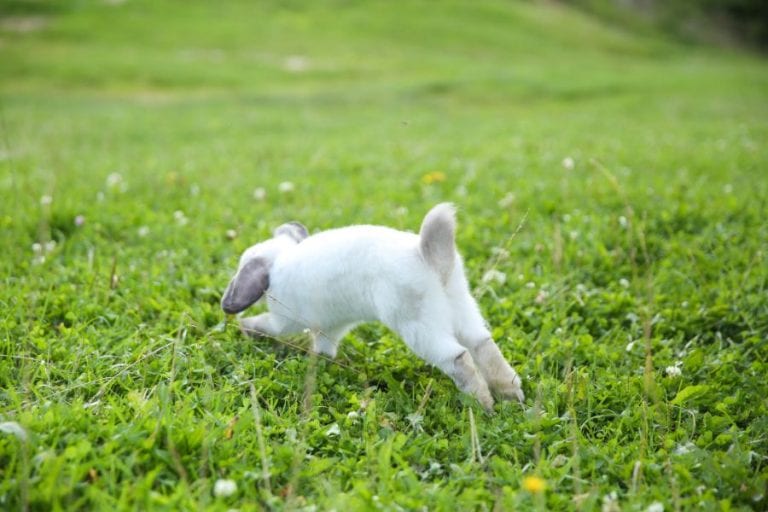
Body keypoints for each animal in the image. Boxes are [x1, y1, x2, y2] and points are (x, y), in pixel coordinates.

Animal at [221, 203, 524, 410]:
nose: (227, 303)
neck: (278, 262)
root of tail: (426, 253)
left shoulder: (284, 320)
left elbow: (266, 325)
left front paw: (245, 327)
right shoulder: (330, 327)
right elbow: (325, 348)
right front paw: (319, 360)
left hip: (418, 326)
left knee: (458, 358)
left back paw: (483, 404)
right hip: (461, 305)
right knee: (482, 344)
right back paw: (510, 394)